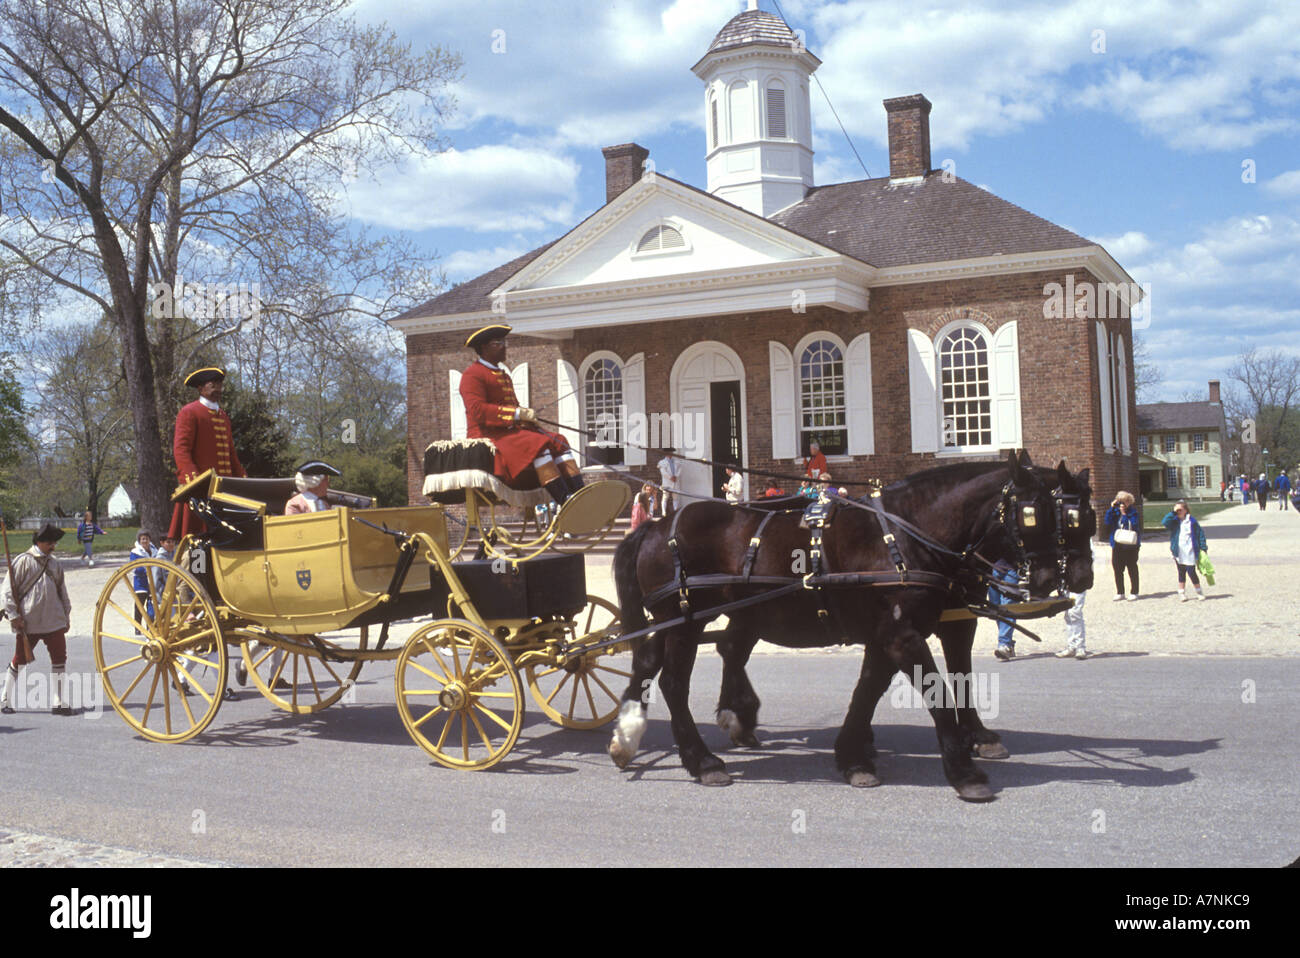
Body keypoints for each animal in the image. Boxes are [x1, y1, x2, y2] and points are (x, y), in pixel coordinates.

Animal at [608, 447, 1097, 800]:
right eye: (1036, 515)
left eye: (1084, 519)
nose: (1075, 578)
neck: (906, 535)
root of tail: (656, 526)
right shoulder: (904, 634)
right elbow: (937, 692)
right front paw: (964, 770)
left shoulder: (897, 632)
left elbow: (872, 689)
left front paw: (853, 754)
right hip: (684, 620)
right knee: (674, 681)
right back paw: (701, 759)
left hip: (699, 617)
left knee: (664, 661)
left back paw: (636, 734)